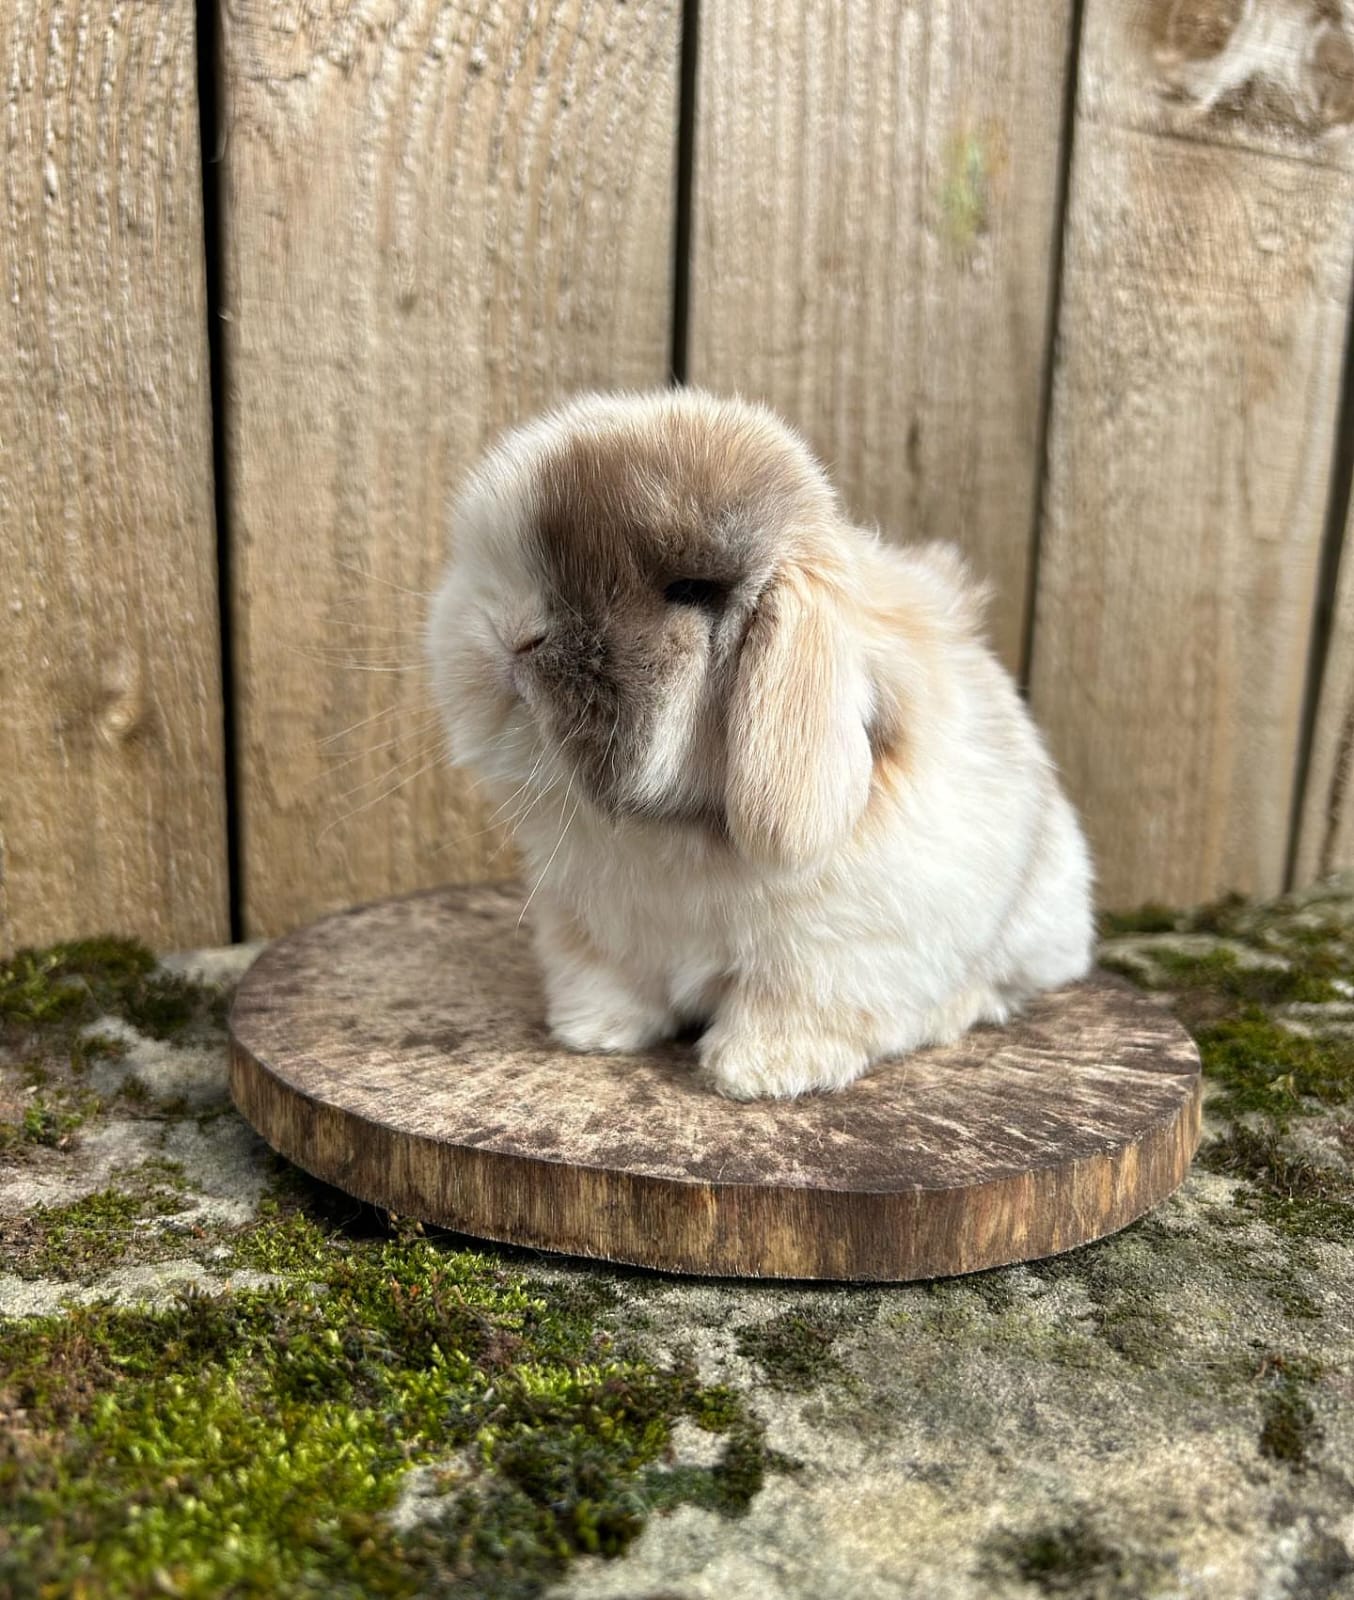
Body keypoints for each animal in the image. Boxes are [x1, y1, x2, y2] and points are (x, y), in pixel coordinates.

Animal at [427, 389, 1094, 1100]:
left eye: (690, 591)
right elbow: (610, 987)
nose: (513, 632)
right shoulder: (590, 932)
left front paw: (762, 1071)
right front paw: (591, 1032)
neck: (672, 837)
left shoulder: (830, 955)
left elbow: (791, 1006)